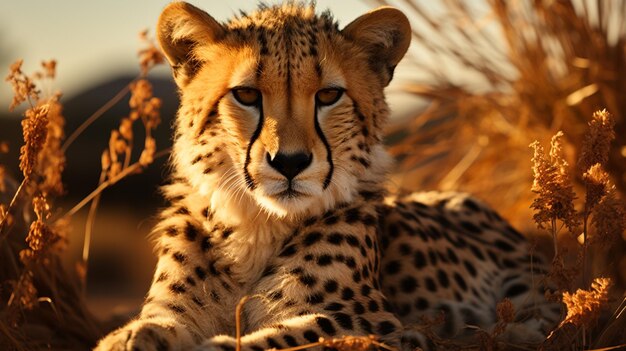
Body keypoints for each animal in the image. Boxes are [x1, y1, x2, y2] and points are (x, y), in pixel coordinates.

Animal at [95, 2, 560, 351]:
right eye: (246, 94)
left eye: (329, 95)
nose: (289, 162)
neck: (256, 228)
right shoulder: (175, 311)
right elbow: (150, 325)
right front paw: (129, 338)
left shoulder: (378, 325)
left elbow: (291, 337)